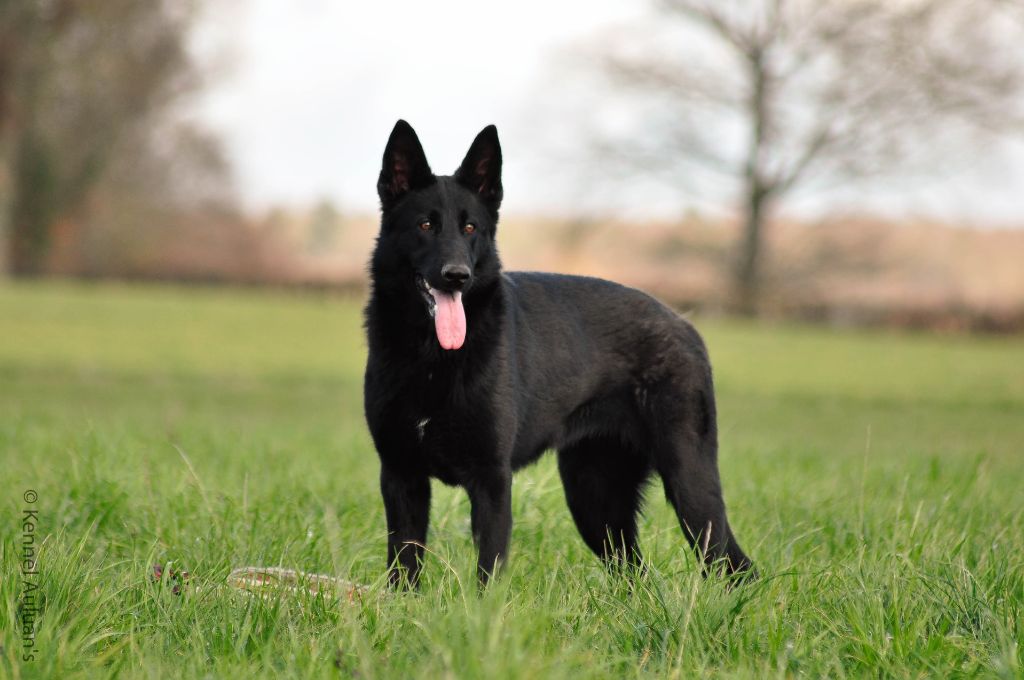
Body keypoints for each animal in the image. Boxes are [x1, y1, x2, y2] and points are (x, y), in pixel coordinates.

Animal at [364, 120, 757, 585]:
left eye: (470, 228)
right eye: (425, 224)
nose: (456, 276)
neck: (432, 358)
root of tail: (684, 325)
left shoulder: (491, 481)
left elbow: (488, 574)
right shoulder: (401, 477)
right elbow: (403, 568)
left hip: (689, 485)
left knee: (735, 566)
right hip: (596, 500)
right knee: (636, 573)